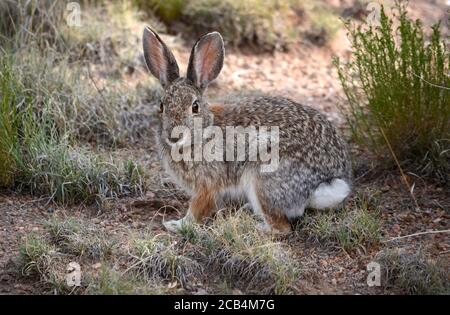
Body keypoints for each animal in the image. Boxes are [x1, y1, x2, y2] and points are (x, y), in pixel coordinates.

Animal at [142, 26, 354, 235]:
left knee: (281, 227)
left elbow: (197, 210)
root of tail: (325, 182)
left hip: (262, 178)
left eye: (195, 107)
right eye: (161, 106)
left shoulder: (207, 186)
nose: (173, 136)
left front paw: (177, 224)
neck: (204, 131)